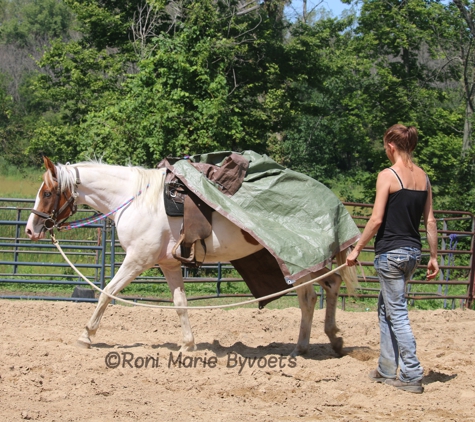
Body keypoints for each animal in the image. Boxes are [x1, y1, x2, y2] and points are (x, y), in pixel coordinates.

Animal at [26, 156, 358, 356]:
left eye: (47, 192)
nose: (31, 229)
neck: (134, 199)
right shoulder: (170, 265)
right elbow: (180, 305)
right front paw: (188, 345)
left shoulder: (136, 260)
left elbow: (107, 292)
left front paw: (86, 335)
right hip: (301, 264)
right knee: (321, 292)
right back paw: (319, 342)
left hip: (302, 263)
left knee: (319, 293)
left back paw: (317, 342)